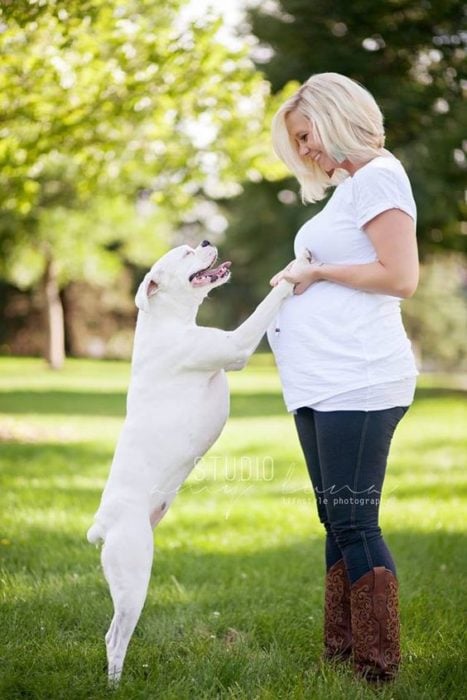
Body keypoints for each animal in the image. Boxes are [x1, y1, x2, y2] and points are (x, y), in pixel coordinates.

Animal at [87, 241, 292, 684]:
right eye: (183, 254)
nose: (205, 242)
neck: (168, 322)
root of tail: (103, 523)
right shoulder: (236, 346)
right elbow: (264, 307)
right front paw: (292, 274)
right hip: (134, 578)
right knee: (115, 636)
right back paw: (116, 683)